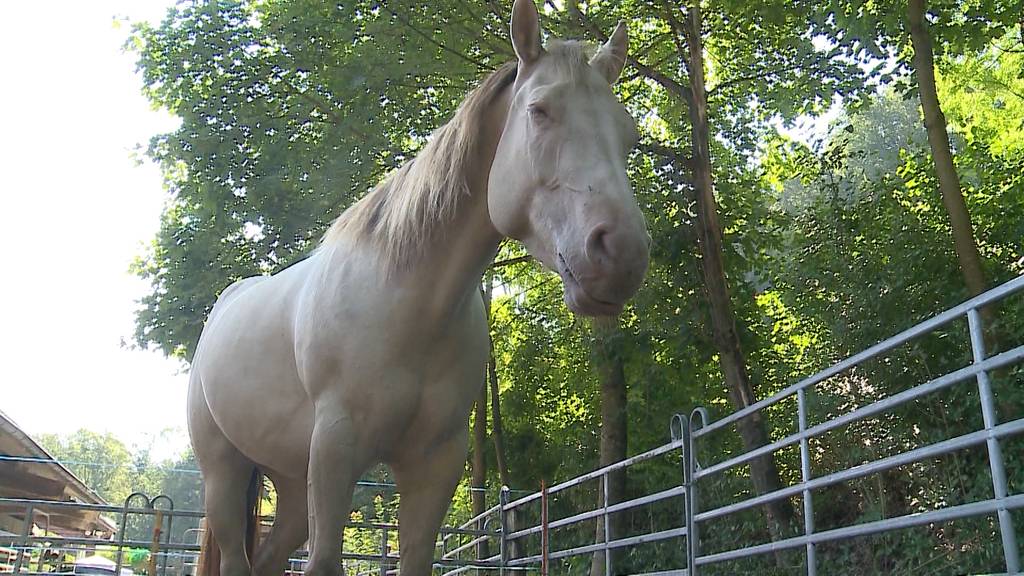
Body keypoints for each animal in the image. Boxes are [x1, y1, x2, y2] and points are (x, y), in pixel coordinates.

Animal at [187, 2, 643, 569]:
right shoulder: (335, 450)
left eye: (628, 133)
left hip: (290, 485)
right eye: (540, 111)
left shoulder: (435, 462)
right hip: (223, 474)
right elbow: (323, 562)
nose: (622, 253)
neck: (410, 306)